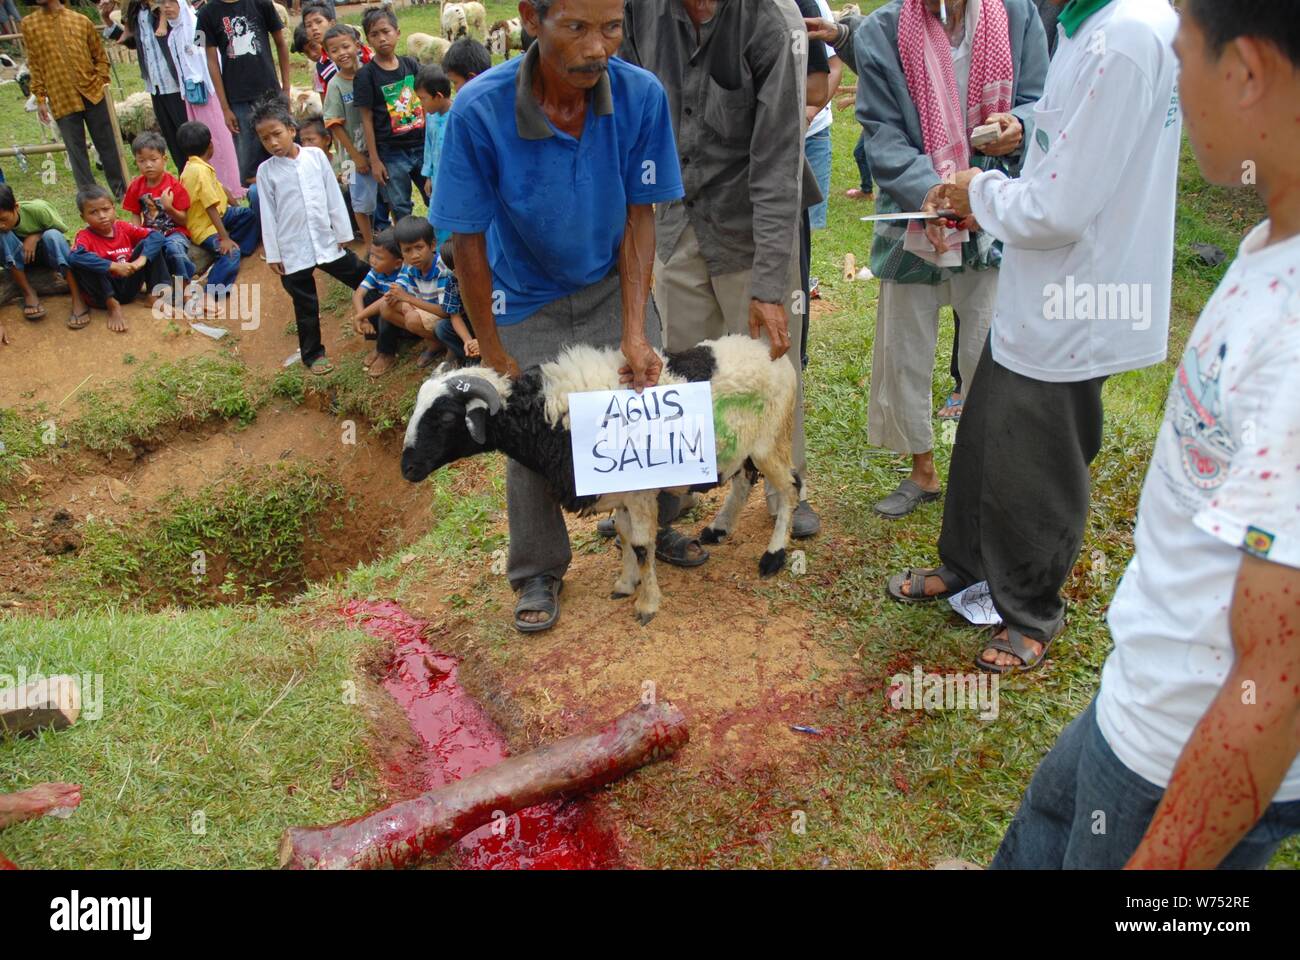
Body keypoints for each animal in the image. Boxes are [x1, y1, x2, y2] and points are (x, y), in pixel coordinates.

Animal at [400, 335, 800, 621]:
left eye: (446, 417)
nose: (407, 469)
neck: (550, 417)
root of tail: (774, 353)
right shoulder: (618, 489)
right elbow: (623, 536)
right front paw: (625, 584)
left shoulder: (638, 491)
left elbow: (641, 545)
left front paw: (647, 604)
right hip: (744, 447)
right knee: (744, 481)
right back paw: (719, 528)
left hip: (770, 440)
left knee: (790, 487)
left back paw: (773, 556)